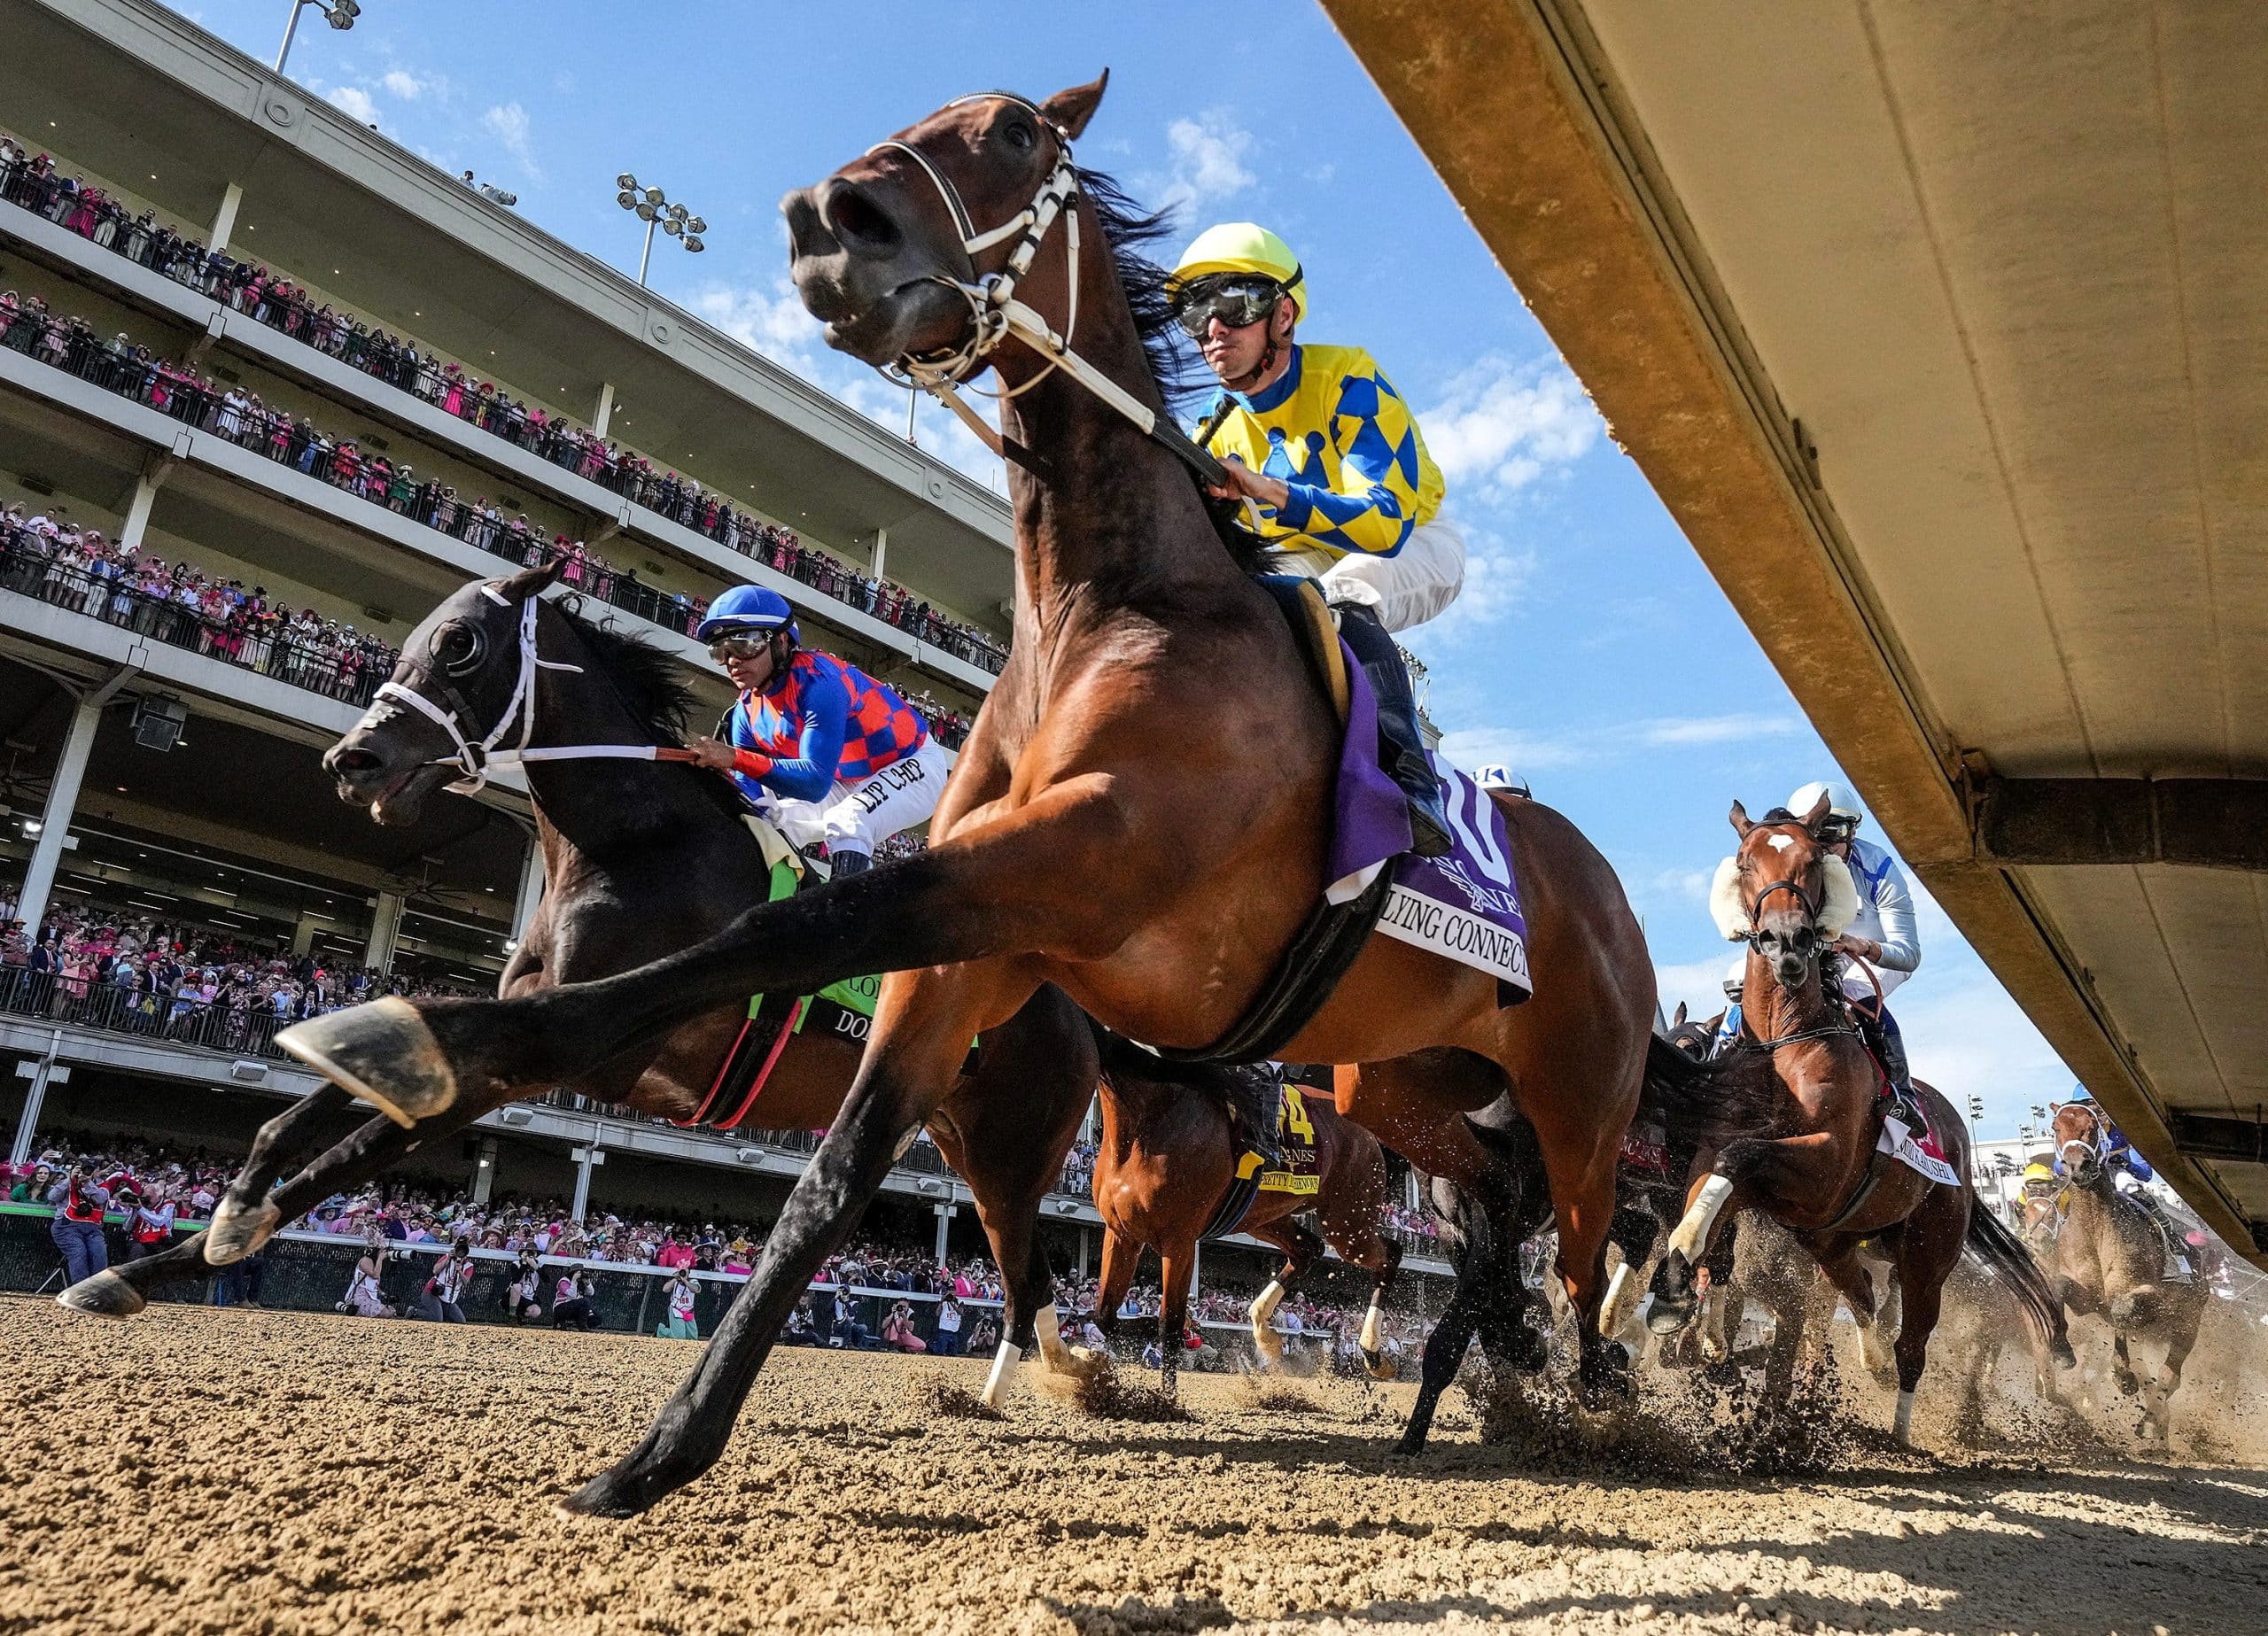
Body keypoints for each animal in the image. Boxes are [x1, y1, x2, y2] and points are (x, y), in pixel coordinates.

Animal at [55, 562, 1107, 1388]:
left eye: (462, 645)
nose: (353, 759)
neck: (634, 843)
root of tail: (1069, 1004)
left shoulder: (571, 1050)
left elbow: (350, 1153)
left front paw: (211, 1234)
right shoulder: (516, 1011)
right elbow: (347, 1080)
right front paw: (171, 1247)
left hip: (1009, 1149)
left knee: (1031, 1273)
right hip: (965, 1145)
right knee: (1029, 1281)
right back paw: (1041, 1381)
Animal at [1079, 1071, 1396, 1388]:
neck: (1151, 1117)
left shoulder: (1179, 1240)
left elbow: (1168, 1325)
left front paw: (1166, 1395)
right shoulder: (1122, 1234)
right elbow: (1104, 1315)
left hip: (1348, 1222)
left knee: (1390, 1253)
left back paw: (1372, 1351)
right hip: (1263, 1218)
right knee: (1309, 1249)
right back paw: (1265, 1332)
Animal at [1651, 798, 2077, 1452]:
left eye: (1810, 861)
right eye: (1746, 861)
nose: (1786, 940)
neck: (1784, 1040)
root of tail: (1958, 1136)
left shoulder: (1822, 1168)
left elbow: (1740, 1159)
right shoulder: (1735, 1163)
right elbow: (1713, 1192)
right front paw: (1681, 1292)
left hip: (1929, 1252)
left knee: (1911, 1344)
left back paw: (1900, 1426)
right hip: (1834, 1241)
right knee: (1866, 1297)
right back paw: (1867, 1358)